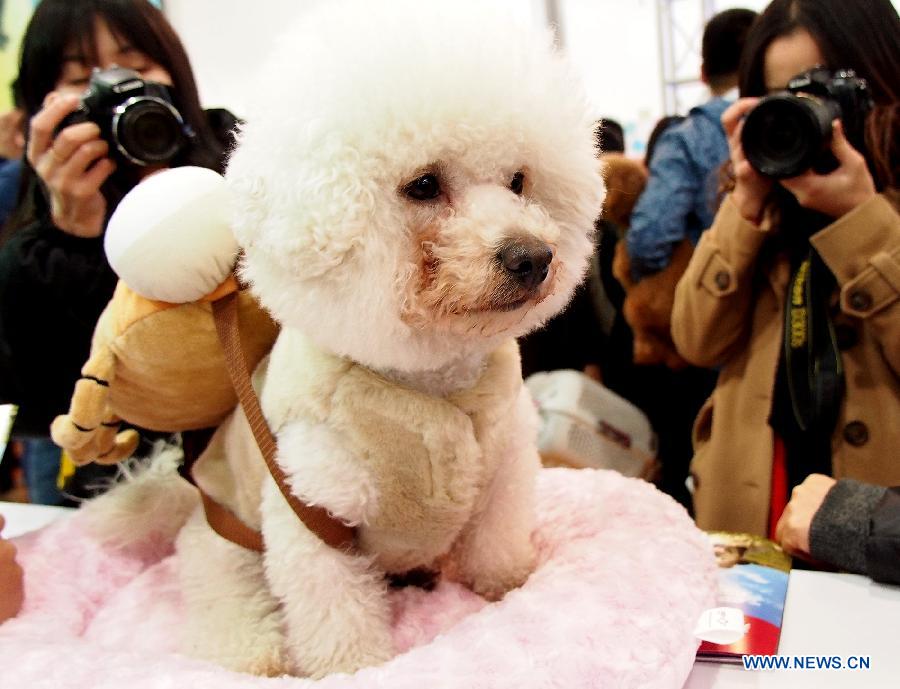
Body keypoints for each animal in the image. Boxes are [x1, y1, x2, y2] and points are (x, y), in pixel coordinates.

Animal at [169, 0, 604, 676]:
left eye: (518, 181)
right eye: (423, 185)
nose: (533, 257)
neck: (430, 382)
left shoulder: (504, 463)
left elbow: (497, 540)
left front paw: (507, 587)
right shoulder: (312, 514)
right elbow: (336, 615)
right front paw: (355, 668)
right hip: (226, 543)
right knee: (226, 597)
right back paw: (255, 649)